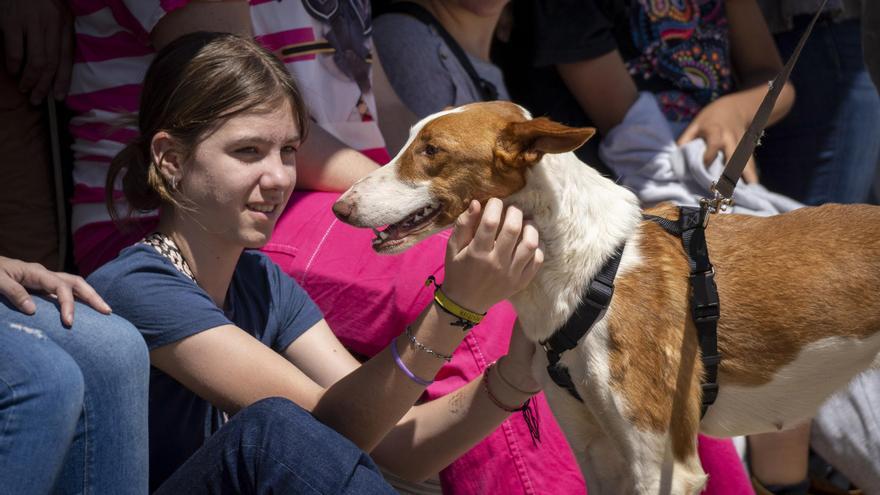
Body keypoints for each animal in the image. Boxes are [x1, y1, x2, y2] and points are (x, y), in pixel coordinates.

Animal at [332, 102, 880, 494]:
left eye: (431, 151)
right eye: (409, 142)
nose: (339, 207)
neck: (591, 269)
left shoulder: (663, 465)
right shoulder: (598, 455)